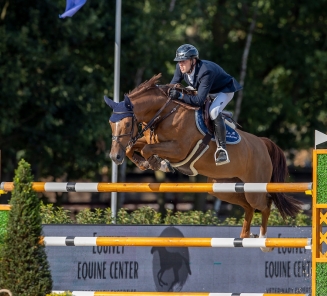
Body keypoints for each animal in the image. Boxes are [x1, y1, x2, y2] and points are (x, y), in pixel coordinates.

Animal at [104, 73, 302, 251]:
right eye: (111, 124)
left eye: (127, 124)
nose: (114, 157)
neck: (165, 113)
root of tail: (262, 143)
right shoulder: (149, 140)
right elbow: (133, 148)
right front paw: (145, 163)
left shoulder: (178, 149)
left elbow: (146, 149)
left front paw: (158, 163)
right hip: (222, 186)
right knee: (248, 206)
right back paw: (245, 236)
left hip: (255, 187)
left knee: (265, 204)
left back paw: (263, 241)